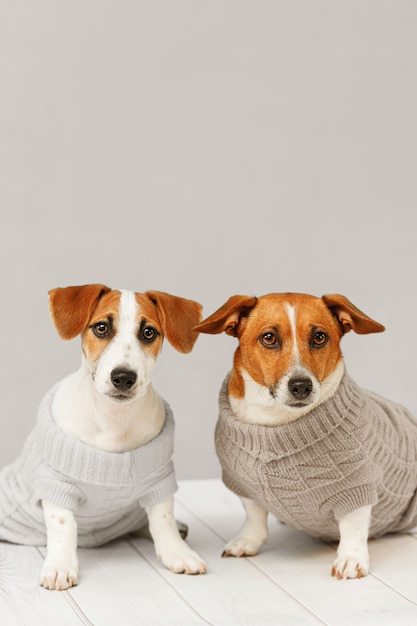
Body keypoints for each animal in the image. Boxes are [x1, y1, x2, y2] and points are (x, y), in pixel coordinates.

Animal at [197, 292, 416, 580]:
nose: (301, 386)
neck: (277, 421)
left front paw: (351, 558)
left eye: (319, 337)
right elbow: (254, 515)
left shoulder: (356, 487)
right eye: (269, 338)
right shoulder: (242, 484)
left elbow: (353, 527)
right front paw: (247, 541)